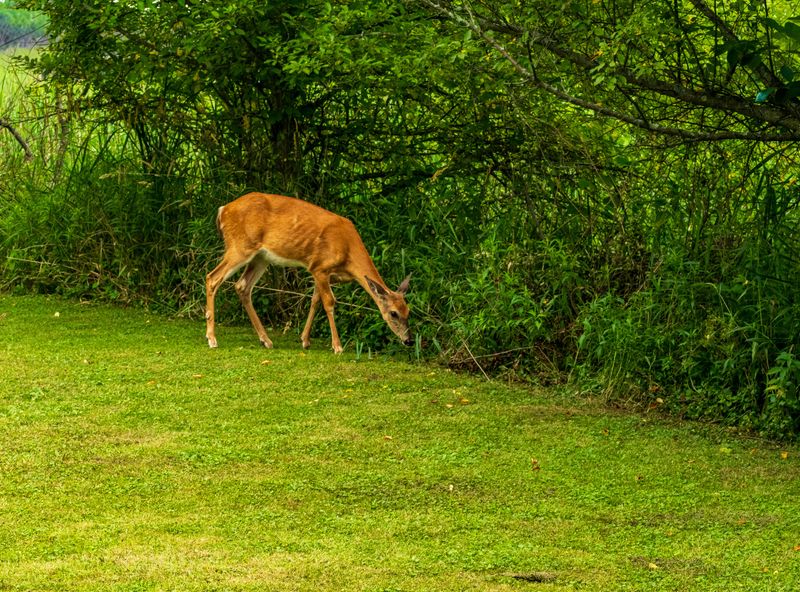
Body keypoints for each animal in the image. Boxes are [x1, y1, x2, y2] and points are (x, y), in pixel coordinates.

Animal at [205, 192, 413, 354]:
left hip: (260, 257)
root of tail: (223, 210)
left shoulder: (326, 274)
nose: (409, 340)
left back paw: (266, 340)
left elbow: (315, 300)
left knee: (242, 286)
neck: (348, 251)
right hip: (240, 246)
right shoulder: (320, 267)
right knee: (212, 278)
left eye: (408, 311)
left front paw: (305, 340)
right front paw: (337, 346)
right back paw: (212, 339)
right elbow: (329, 302)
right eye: (393, 313)